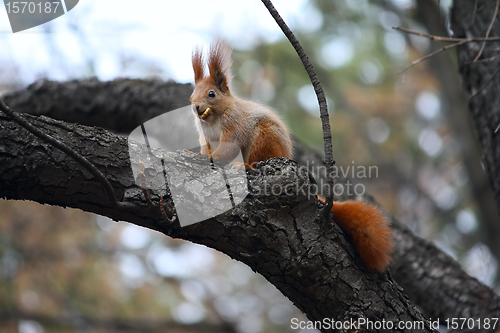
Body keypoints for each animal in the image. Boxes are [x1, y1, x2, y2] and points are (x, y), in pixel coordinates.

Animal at [189, 40, 392, 272]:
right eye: (192, 95)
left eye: (211, 94)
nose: (196, 107)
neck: (213, 119)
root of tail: (284, 154)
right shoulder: (205, 136)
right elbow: (206, 148)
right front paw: (195, 153)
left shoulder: (235, 126)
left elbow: (226, 150)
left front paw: (207, 159)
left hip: (264, 138)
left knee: (256, 160)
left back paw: (245, 167)